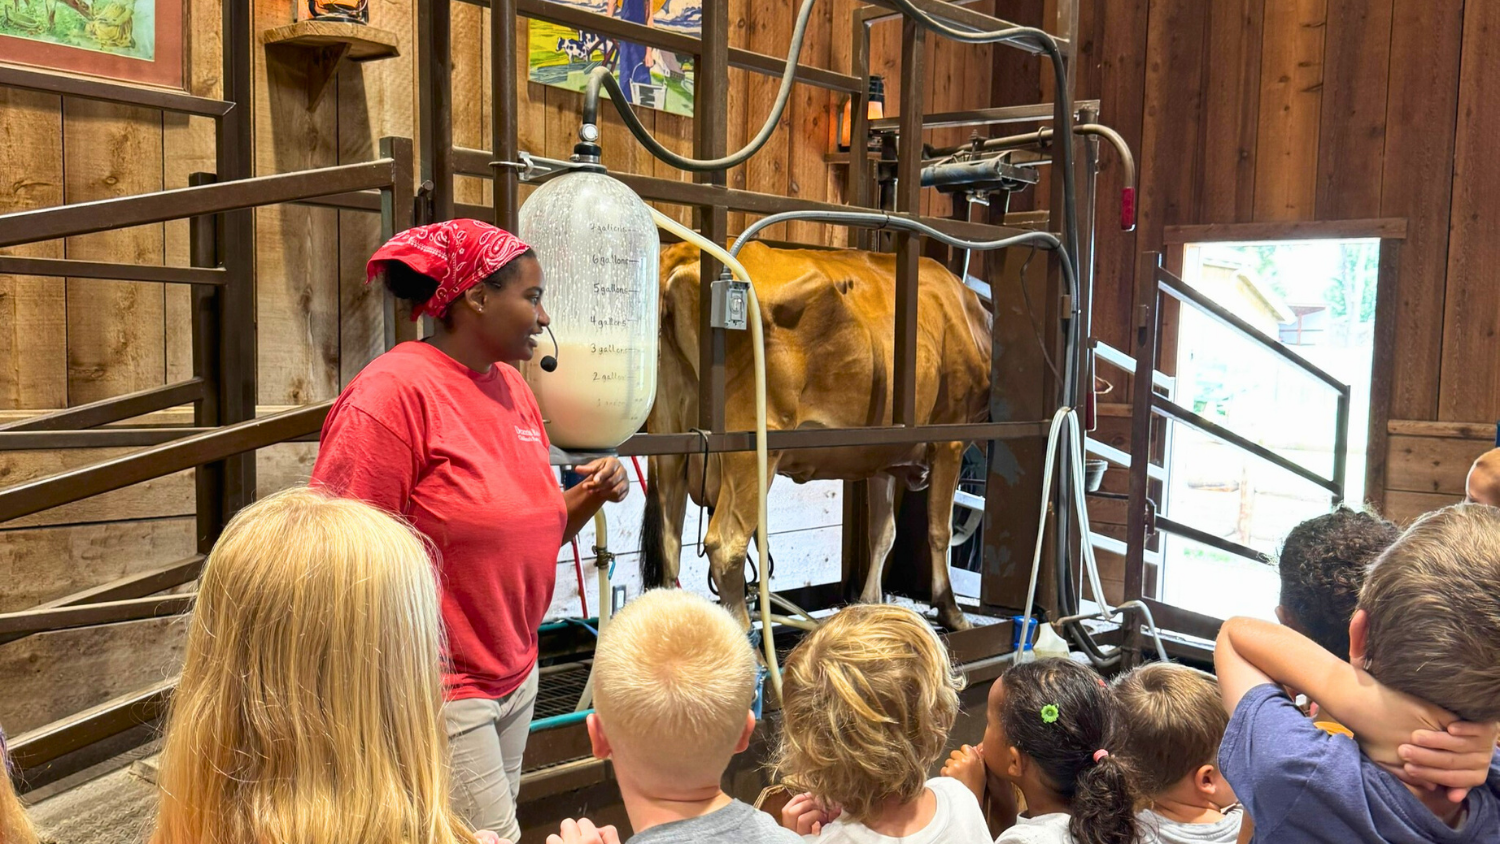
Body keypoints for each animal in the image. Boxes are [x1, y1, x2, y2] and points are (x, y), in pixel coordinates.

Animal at [640, 242, 993, 631]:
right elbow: (939, 531)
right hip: (751, 448)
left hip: (669, 441)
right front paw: (951, 610)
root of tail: (684, 253)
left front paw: (870, 602)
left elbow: (883, 532)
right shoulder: (950, 439)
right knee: (725, 543)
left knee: (669, 543)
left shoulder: (883, 456)